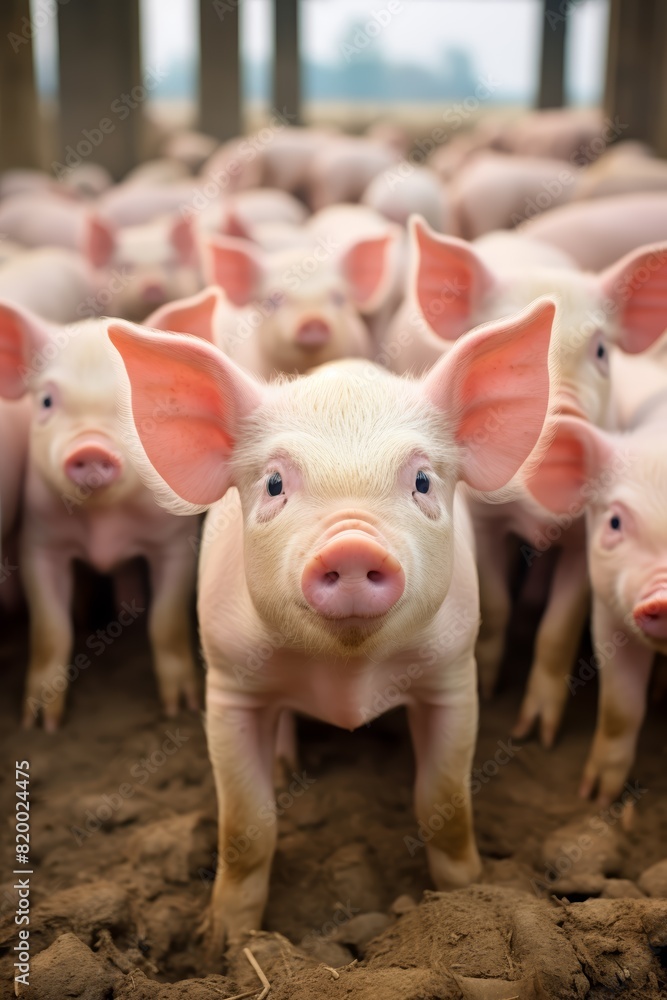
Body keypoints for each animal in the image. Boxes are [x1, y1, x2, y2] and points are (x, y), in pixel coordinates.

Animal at [0, 301, 201, 727]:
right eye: (46, 401)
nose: (90, 448)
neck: (103, 524)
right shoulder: (40, 542)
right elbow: (50, 629)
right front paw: (40, 723)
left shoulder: (175, 543)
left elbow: (167, 621)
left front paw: (180, 707)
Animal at [108, 296, 556, 945]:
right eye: (274, 483)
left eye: (422, 479)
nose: (351, 545)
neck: (348, 674)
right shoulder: (227, 682)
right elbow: (246, 825)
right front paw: (224, 941)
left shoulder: (452, 674)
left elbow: (443, 803)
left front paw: (469, 893)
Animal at [382, 218, 667, 743]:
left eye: (601, 350)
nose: (560, 418)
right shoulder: (483, 518)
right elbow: (494, 602)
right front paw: (491, 694)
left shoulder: (582, 533)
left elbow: (560, 627)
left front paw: (536, 734)